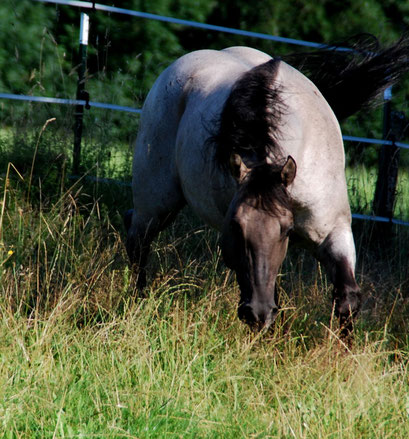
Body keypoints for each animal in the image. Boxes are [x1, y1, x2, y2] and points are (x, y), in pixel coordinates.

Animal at [124, 35, 408, 336]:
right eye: (235, 227)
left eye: (286, 230)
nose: (257, 313)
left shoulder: (335, 230)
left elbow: (347, 298)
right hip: (157, 201)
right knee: (138, 240)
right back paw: (138, 301)